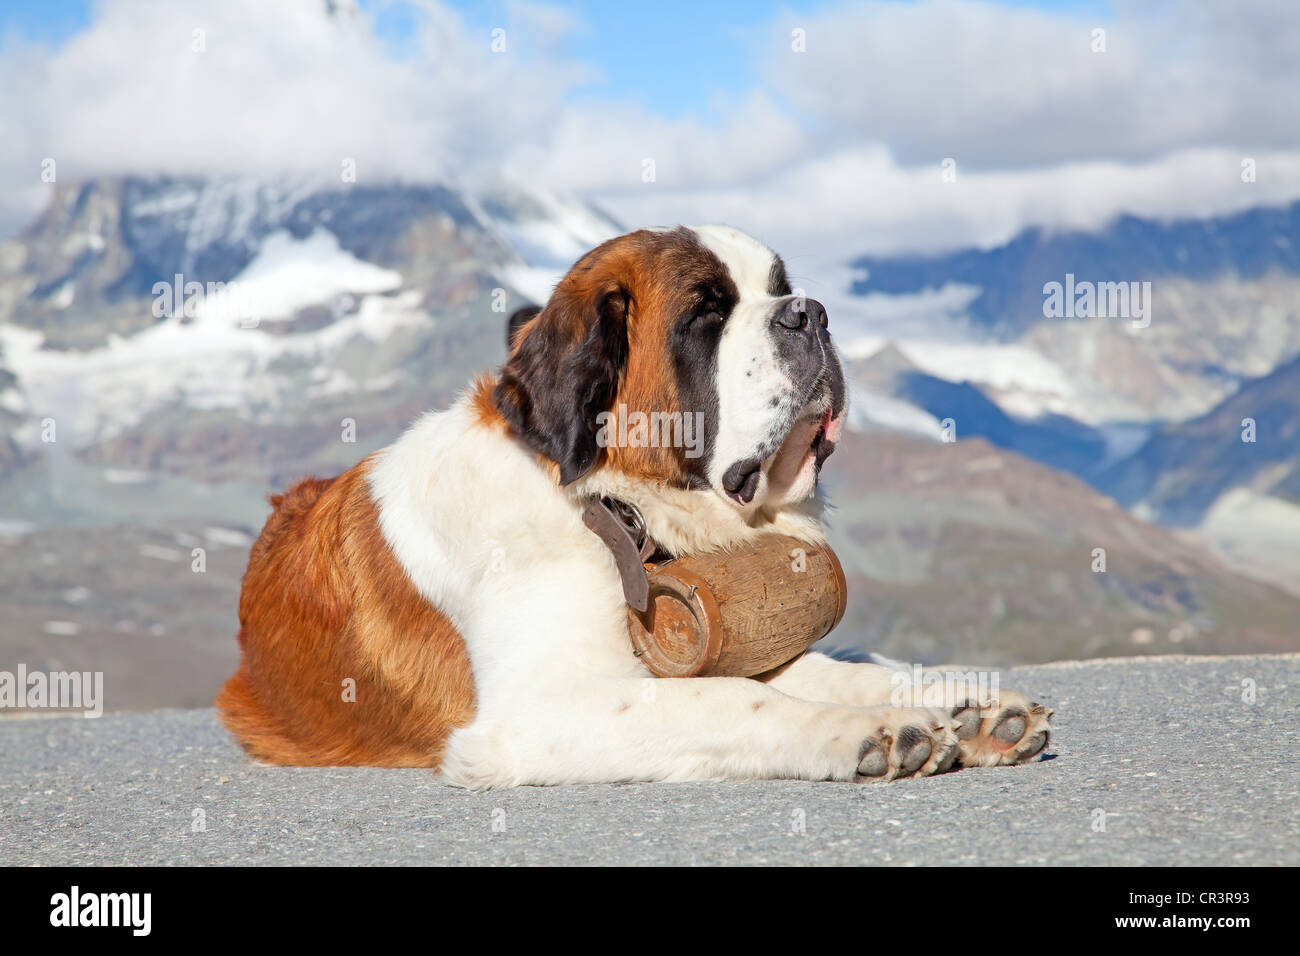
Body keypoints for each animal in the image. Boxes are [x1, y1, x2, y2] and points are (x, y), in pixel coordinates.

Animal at [218, 226, 1050, 790]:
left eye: (780, 285)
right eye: (707, 314)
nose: (810, 313)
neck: (612, 506)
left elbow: (831, 668)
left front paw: (970, 706)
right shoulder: (542, 710)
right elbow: (734, 699)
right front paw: (868, 731)